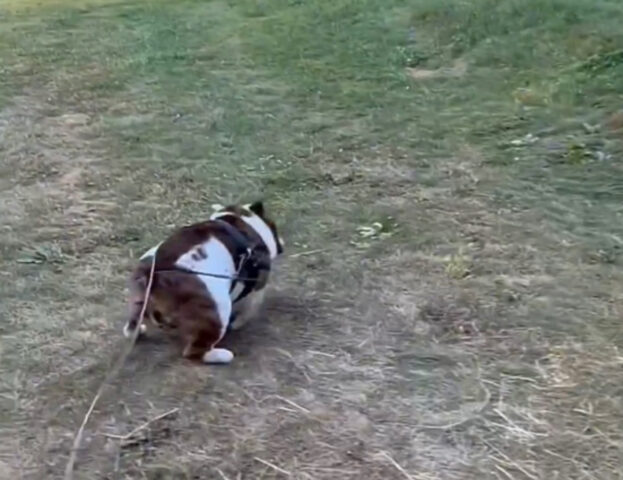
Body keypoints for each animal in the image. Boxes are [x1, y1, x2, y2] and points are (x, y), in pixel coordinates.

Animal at [123, 202, 284, 364]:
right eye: (274, 226)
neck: (241, 220)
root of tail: (155, 273)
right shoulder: (257, 288)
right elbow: (249, 309)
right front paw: (238, 323)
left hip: (138, 301)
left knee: (130, 326)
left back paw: (138, 331)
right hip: (218, 310)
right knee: (194, 352)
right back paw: (222, 355)